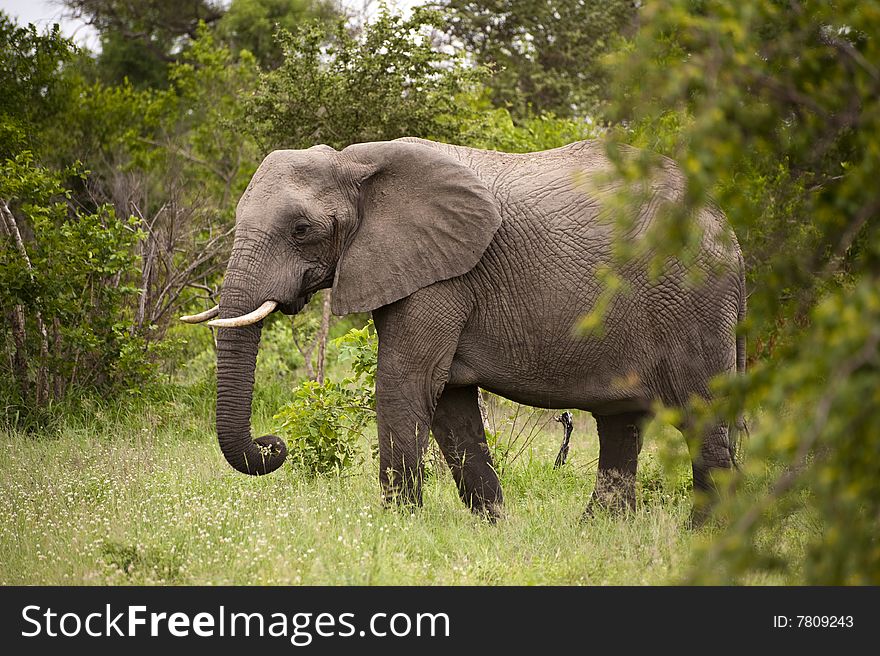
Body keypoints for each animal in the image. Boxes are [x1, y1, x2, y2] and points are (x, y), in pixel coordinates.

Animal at [182, 137, 744, 524]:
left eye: (301, 230)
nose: (273, 445)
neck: (355, 165)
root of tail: (730, 232)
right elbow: (449, 400)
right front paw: (494, 527)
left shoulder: (442, 277)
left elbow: (405, 384)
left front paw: (397, 526)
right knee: (620, 422)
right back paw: (598, 530)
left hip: (691, 299)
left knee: (699, 414)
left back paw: (703, 536)